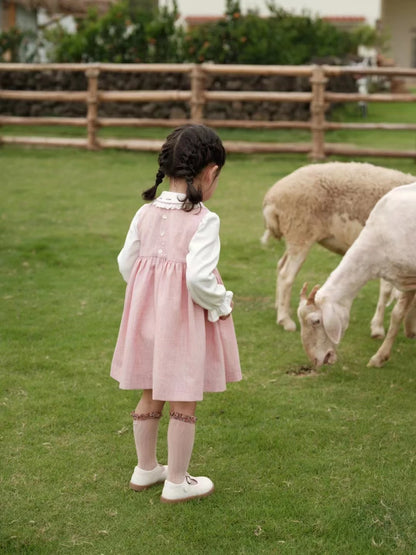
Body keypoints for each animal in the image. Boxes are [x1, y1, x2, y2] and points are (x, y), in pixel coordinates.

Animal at [262, 161, 414, 334]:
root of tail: (272, 196)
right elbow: (386, 291)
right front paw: (378, 327)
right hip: (300, 231)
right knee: (286, 276)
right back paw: (285, 320)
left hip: (294, 237)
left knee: (280, 265)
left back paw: (280, 307)